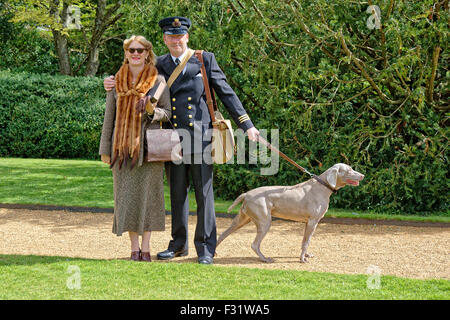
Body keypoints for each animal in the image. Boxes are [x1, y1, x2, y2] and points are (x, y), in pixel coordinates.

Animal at [216, 162, 364, 262]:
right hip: (264, 221)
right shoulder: (313, 221)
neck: (322, 187)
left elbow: (304, 240)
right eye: (349, 170)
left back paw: (214, 252)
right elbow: (307, 241)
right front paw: (303, 259)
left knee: (222, 234)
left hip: (242, 219)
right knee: (254, 244)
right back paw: (265, 258)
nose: (363, 175)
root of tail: (246, 194)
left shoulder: (308, 222)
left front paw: (306, 255)